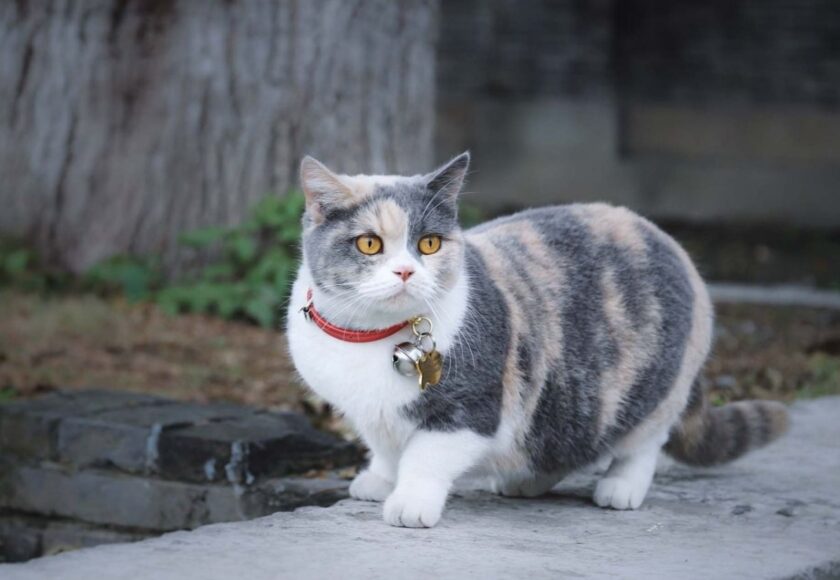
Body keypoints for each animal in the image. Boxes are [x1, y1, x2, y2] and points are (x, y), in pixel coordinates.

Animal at [288, 152, 788, 528]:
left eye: (429, 244)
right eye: (369, 244)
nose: (406, 271)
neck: (371, 336)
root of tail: (670, 242)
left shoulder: (472, 408)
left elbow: (424, 456)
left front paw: (410, 502)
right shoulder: (369, 414)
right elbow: (385, 448)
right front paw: (378, 480)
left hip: (654, 389)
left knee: (644, 440)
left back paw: (620, 487)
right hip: (566, 398)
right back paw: (525, 480)